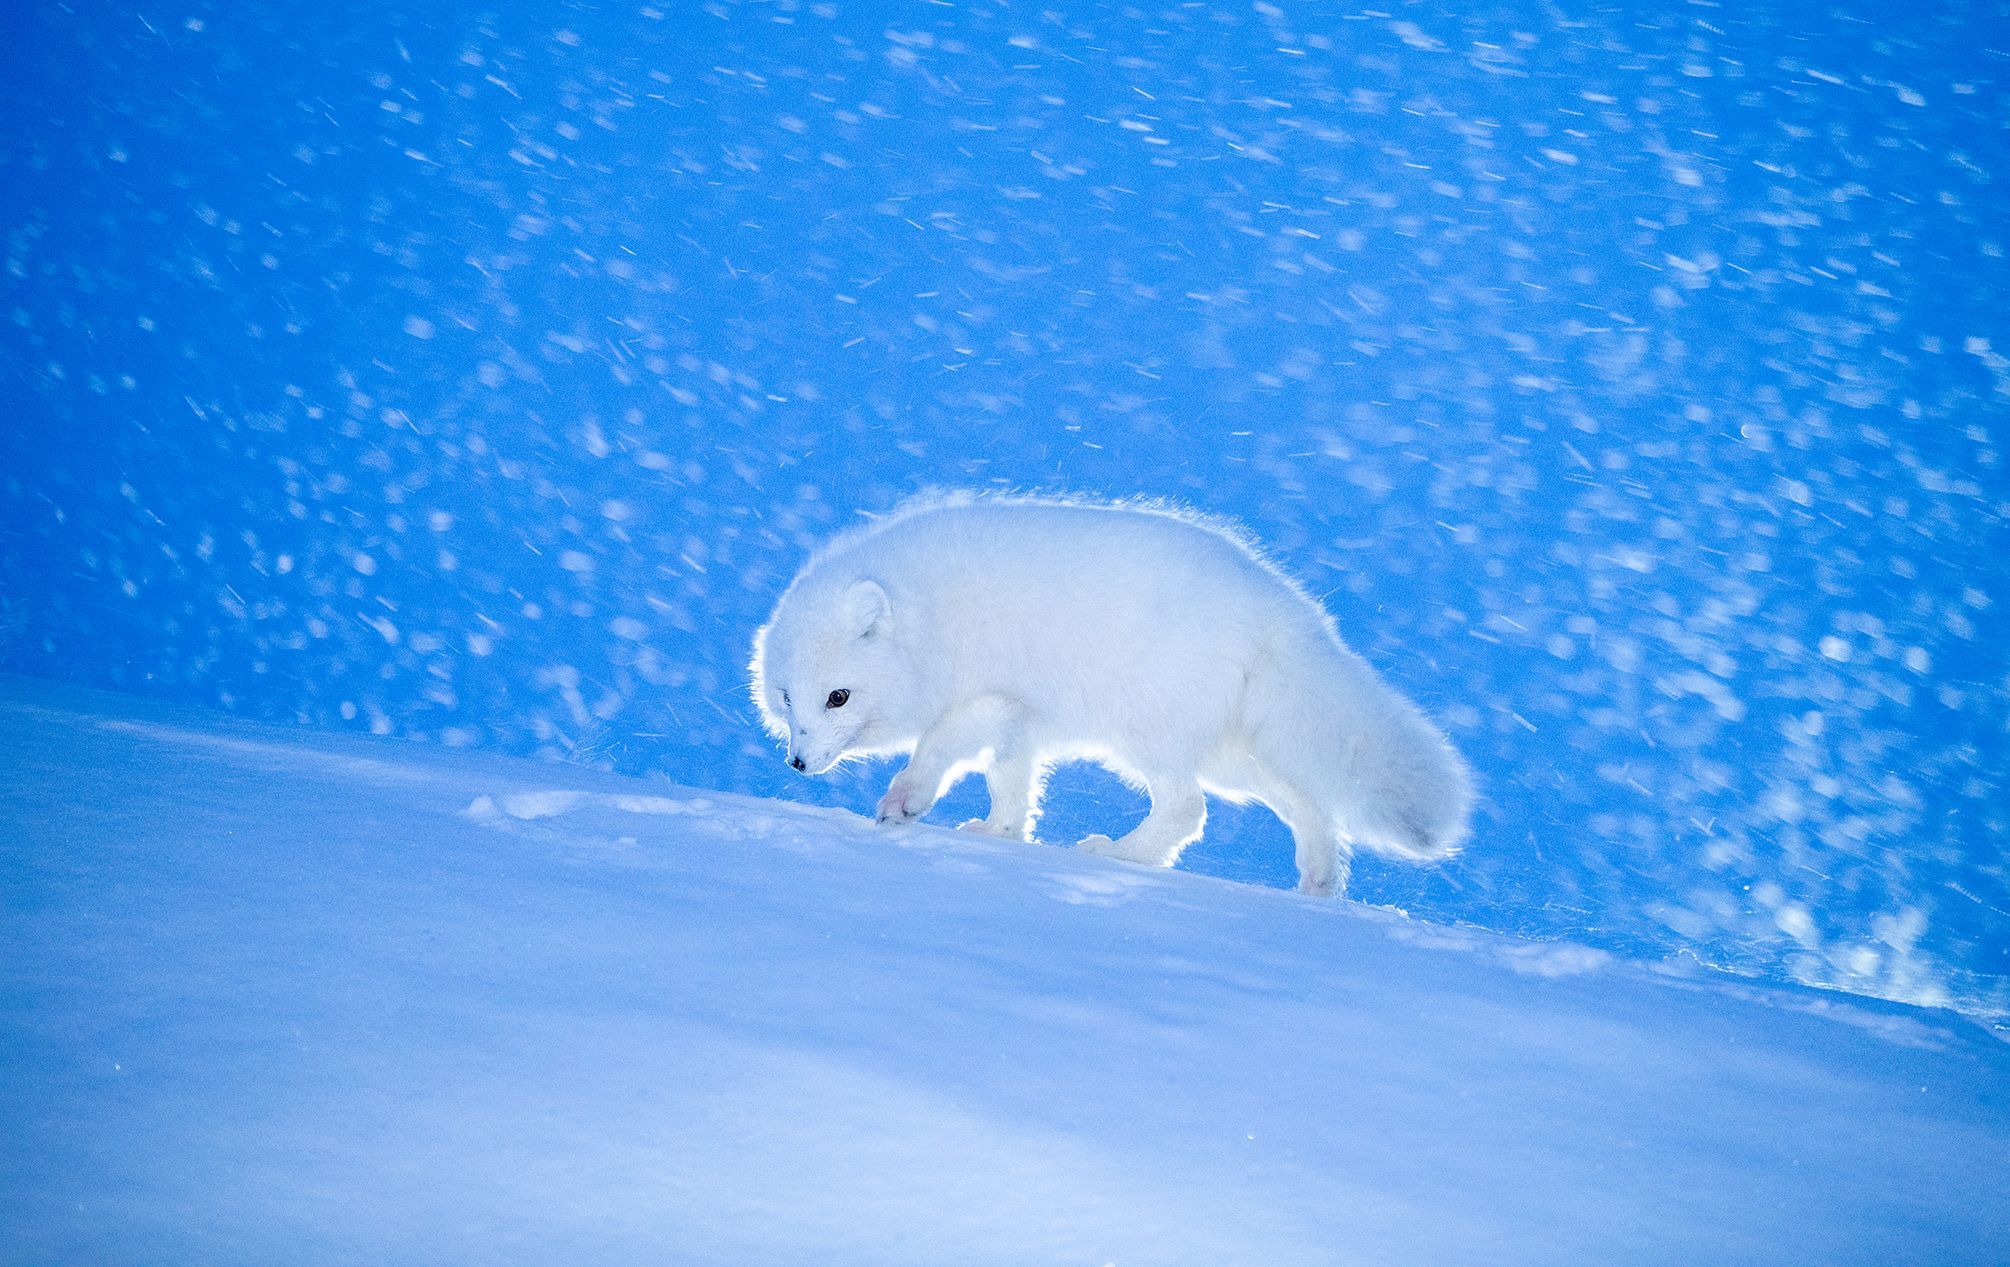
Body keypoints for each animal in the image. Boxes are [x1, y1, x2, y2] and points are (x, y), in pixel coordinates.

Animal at [747, 490, 1471, 896]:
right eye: (787, 697)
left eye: (838, 697)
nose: (798, 763)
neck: (930, 621)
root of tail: (1283, 612)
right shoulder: (1019, 719)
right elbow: (1009, 784)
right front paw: (1000, 836)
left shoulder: (987, 698)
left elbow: (940, 750)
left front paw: (905, 803)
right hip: (1237, 755)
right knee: (1306, 802)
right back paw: (1320, 883)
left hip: (1148, 736)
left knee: (1189, 810)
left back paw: (1119, 854)